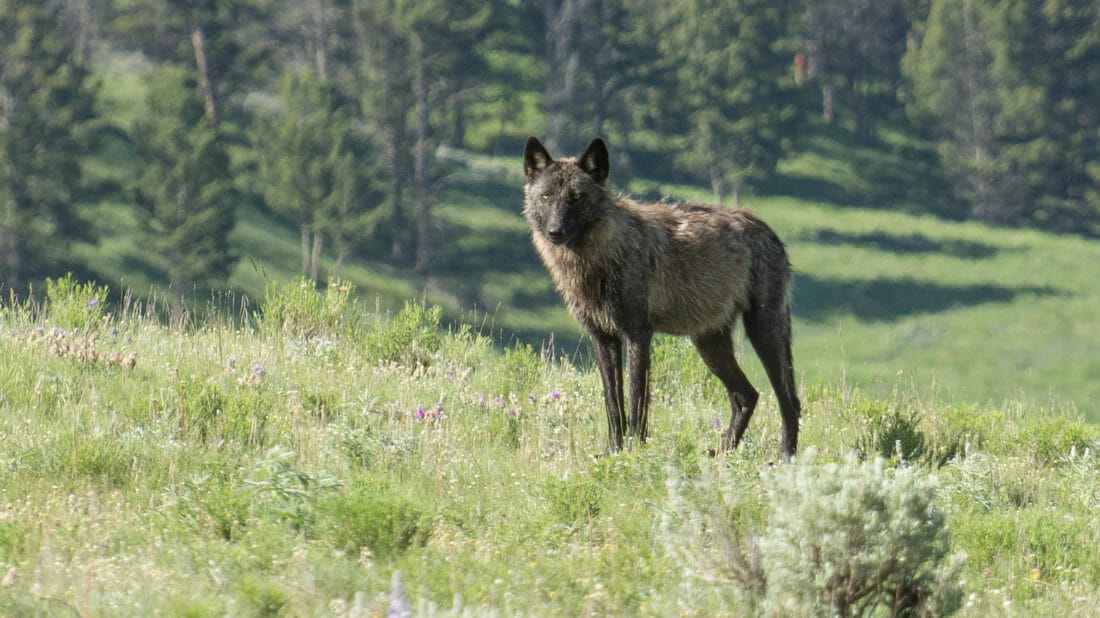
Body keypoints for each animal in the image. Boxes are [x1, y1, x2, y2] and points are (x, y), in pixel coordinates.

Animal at [523, 136, 800, 455]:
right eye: (546, 197)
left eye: (576, 197)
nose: (555, 231)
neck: (601, 256)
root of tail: (767, 229)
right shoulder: (602, 338)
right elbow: (612, 404)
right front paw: (613, 452)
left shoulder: (638, 335)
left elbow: (637, 400)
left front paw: (635, 451)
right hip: (709, 344)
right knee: (746, 396)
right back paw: (723, 455)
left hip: (763, 333)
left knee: (789, 402)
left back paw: (785, 458)